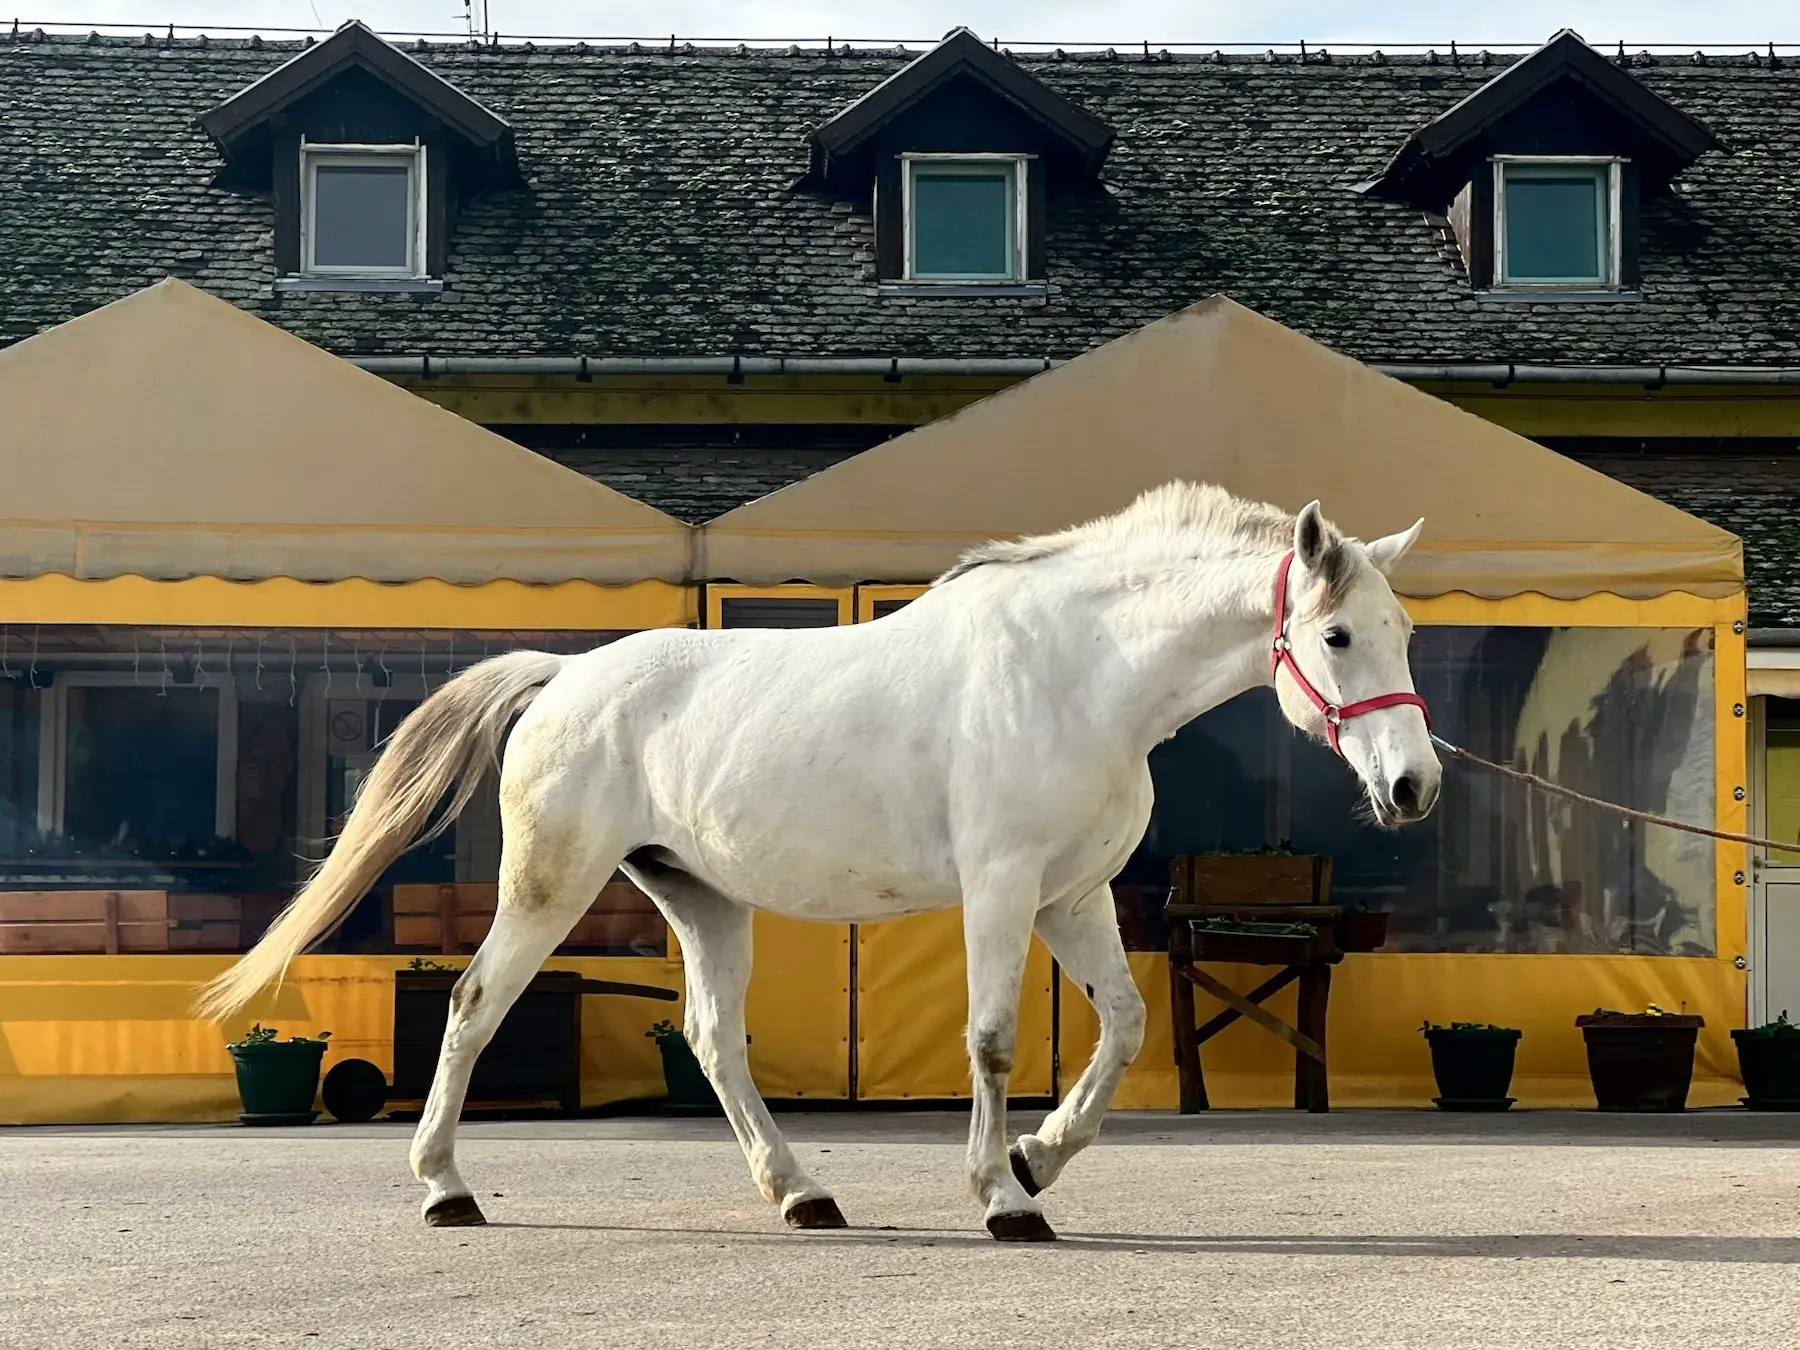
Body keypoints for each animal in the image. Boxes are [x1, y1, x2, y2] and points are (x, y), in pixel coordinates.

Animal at [200, 482, 1432, 1245]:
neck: (1079, 673)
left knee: (712, 1040)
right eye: (1335, 636)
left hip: (702, 901)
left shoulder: (1072, 900)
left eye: (1407, 633)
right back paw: (446, 1188)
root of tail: (563, 676)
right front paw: (1004, 1198)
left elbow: (1125, 1031)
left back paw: (802, 1194)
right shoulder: (1001, 892)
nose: (1415, 786)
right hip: (551, 888)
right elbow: (992, 1041)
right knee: (471, 1004)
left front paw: (1038, 1158)